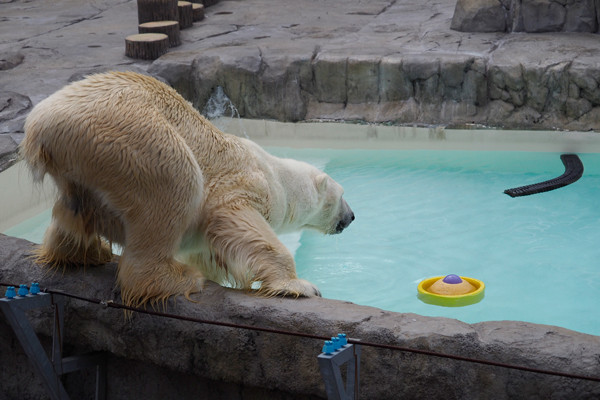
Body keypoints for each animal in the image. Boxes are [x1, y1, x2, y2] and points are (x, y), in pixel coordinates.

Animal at [21, 71, 354, 306]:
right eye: (342, 196)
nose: (351, 217)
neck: (278, 177)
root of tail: (39, 127)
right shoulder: (246, 184)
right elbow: (236, 218)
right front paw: (301, 286)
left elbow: (209, 250)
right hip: (130, 132)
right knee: (176, 183)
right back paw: (176, 279)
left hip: (80, 165)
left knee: (74, 208)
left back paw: (84, 253)